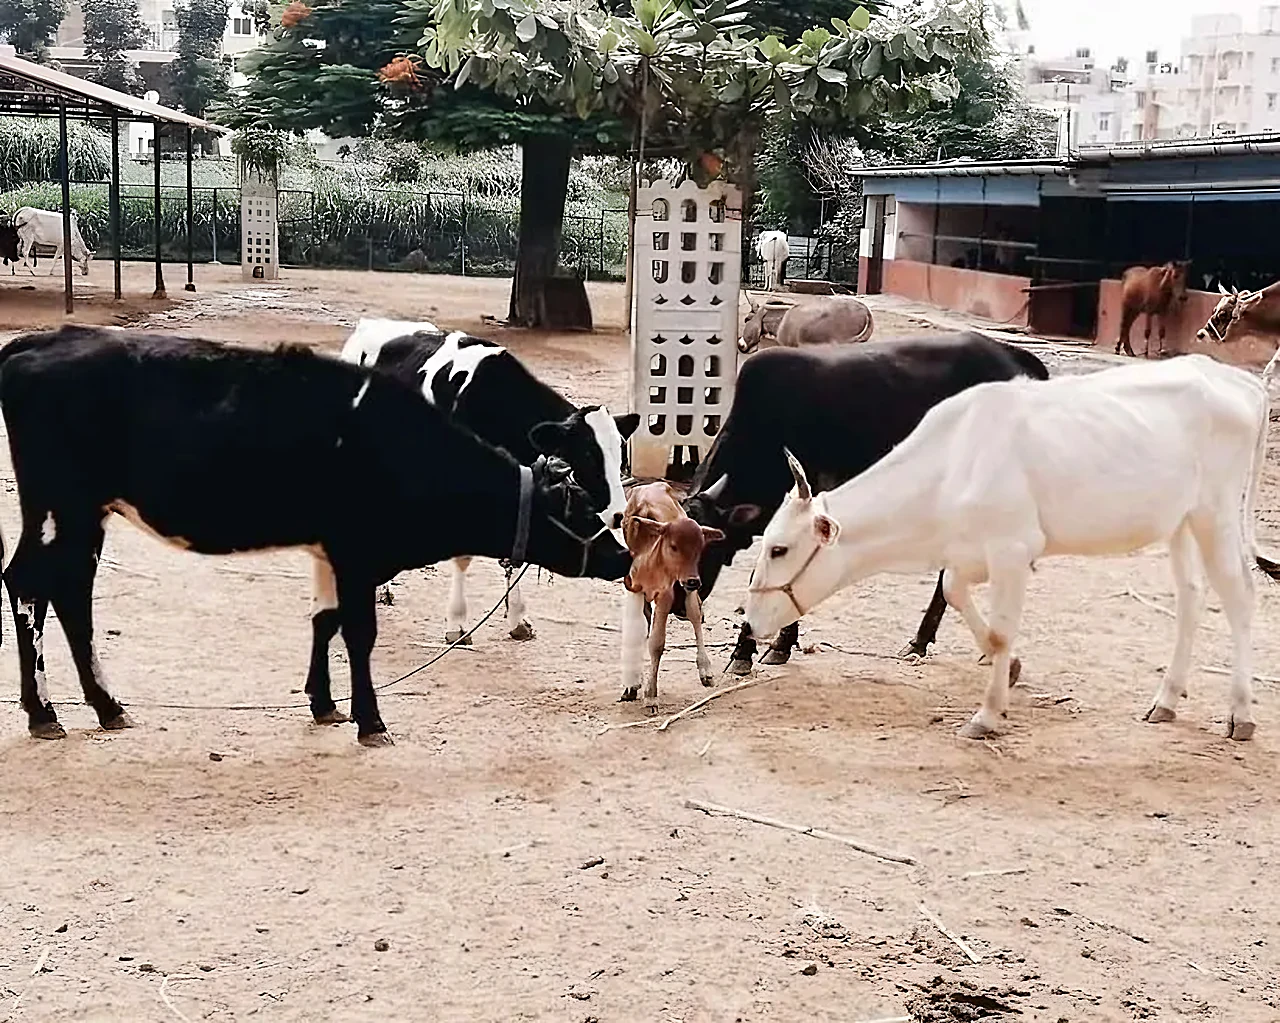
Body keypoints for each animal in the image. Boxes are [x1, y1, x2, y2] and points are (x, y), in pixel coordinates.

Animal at [619, 482, 724, 710]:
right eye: (674, 546)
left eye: (699, 548)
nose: (694, 581)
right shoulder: (631, 585)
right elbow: (640, 631)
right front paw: (632, 686)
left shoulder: (666, 593)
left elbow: (657, 643)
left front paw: (650, 694)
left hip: (684, 589)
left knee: (695, 614)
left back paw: (706, 670)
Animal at [745, 356, 1280, 742]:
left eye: (778, 550)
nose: (749, 622)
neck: (952, 464)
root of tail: (1238, 380)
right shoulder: (970, 553)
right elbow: (953, 590)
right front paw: (1011, 669)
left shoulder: (1012, 550)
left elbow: (1002, 633)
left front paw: (987, 714)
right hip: (1180, 522)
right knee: (1191, 597)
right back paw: (1165, 700)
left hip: (1215, 514)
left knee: (1239, 596)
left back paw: (1241, 714)